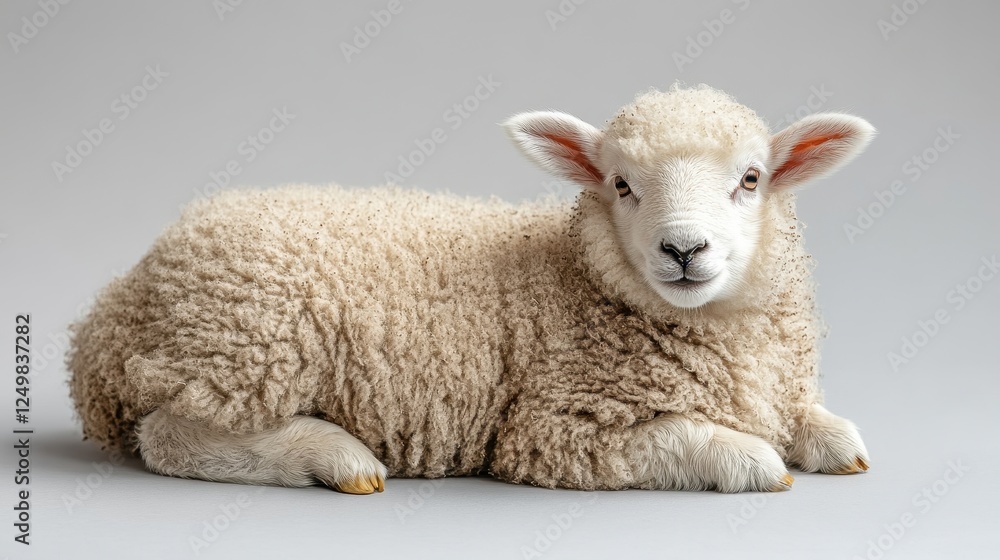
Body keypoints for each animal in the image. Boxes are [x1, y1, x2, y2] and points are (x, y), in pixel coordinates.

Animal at [67, 84, 875, 494]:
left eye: (751, 179)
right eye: (620, 184)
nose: (683, 249)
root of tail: (122, 301)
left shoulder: (774, 382)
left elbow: (811, 420)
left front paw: (835, 440)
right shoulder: (557, 429)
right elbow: (705, 442)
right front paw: (755, 461)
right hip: (249, 343)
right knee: (170, 435)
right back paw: (334, 457)